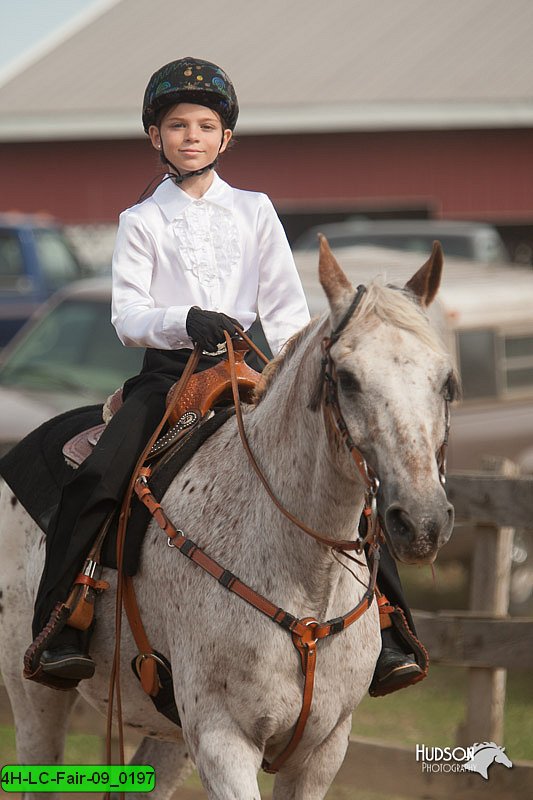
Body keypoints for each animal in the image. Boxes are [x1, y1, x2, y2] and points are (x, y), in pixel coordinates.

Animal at [1, 239, 458, 800]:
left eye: (446, 382)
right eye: (348, 379)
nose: (422, 521)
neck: (305, 578)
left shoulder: (322, 751)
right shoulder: (223, 739)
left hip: (170, 736)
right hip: (36, 698)